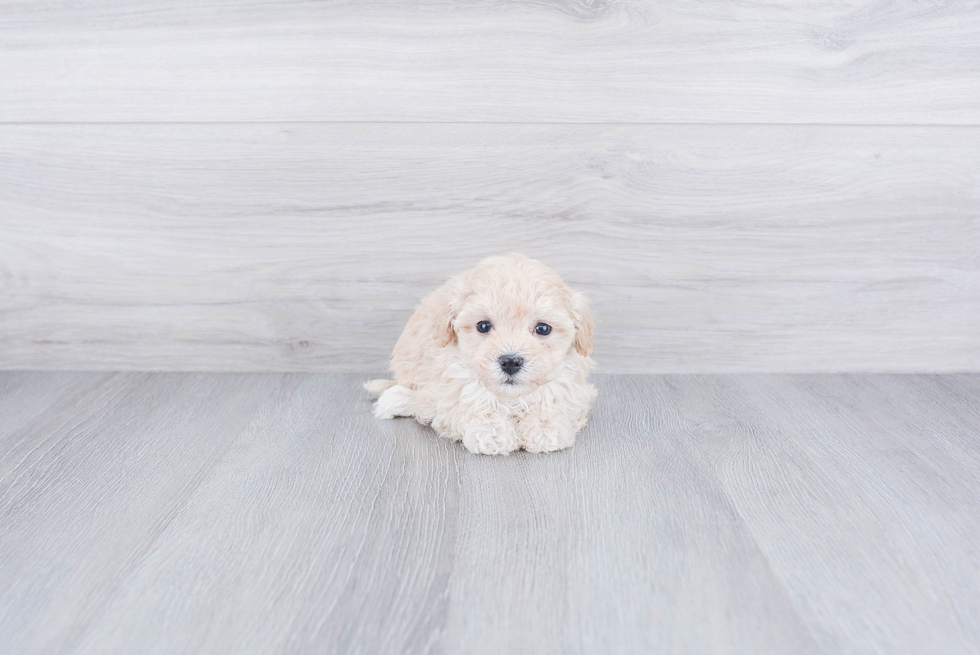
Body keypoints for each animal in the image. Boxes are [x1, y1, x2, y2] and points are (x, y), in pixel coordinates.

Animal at [366, 252, 596, 456]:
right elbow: (473, 404)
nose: (510, 362)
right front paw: (492, 432)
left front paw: (545, 428)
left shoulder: (572, 386)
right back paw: (395, 399)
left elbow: (553, 401)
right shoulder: (450, 386)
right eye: (483, 326)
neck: (510, 397)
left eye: (543, 328)